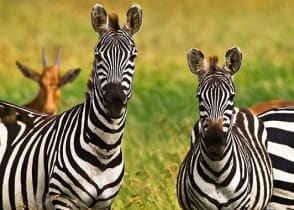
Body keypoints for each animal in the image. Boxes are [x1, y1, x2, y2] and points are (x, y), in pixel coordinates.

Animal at [0, 3, 142, 210]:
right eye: (97, 56)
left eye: (133, 56)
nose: (115, 100)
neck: (105, 149)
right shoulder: (63, 199)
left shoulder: (104, 204)